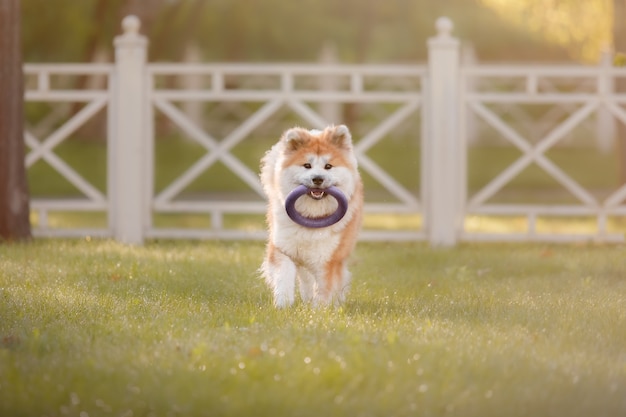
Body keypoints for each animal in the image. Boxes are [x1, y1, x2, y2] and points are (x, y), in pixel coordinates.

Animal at [258, 123, 364, 306]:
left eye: (328, 166)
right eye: (307, 165)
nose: (318, 179)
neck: (311, 217)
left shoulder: (328, 258)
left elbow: (324, 287)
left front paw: (320, 309)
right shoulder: (283, 247)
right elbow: (284, 276)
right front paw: (283, 304)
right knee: (306, 278)